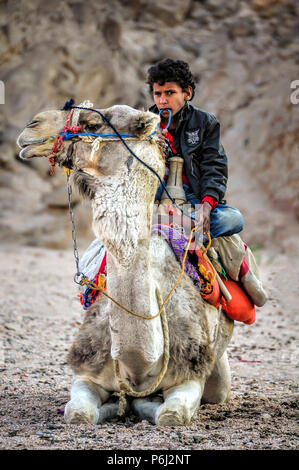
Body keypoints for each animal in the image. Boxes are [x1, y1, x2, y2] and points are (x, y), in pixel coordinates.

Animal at [17, 103, 236, 426]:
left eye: (92, 124)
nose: (32, 125)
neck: (140, 361)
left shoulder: (189, 375)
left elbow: (171, 414)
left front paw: (140, 403)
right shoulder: (88, 371)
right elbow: (79, 412)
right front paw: (116, 405)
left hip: (217, 369)